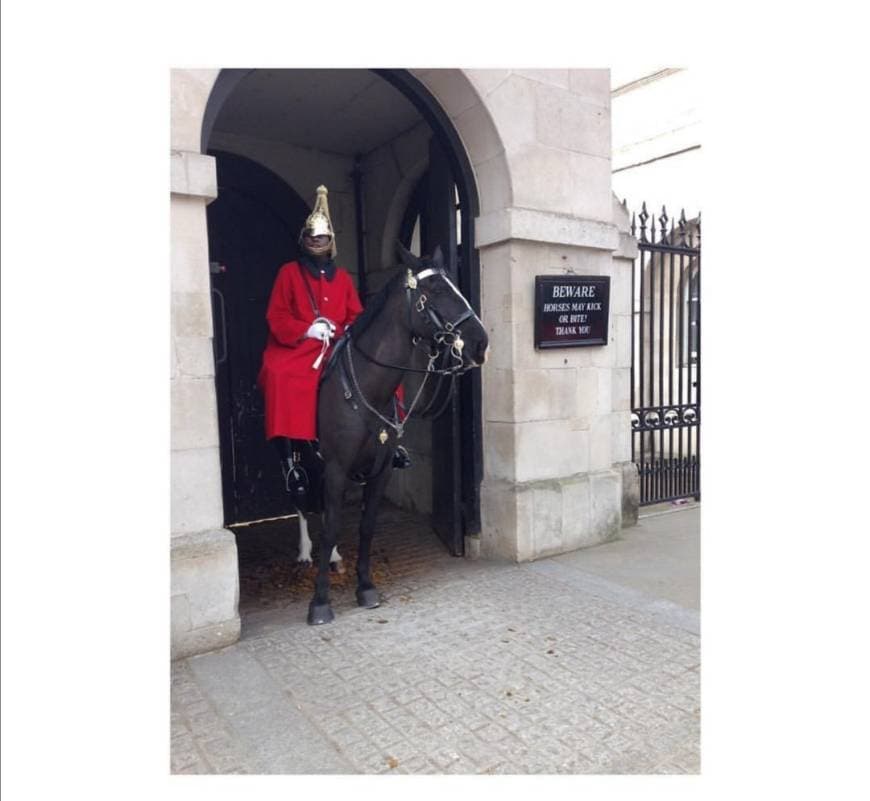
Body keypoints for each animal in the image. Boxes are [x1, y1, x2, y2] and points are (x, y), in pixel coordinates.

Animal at [304, 244, 488, 624]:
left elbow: (366, 525)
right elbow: (330, 528)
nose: (481, 343)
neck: (367, 389)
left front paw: (365, 586)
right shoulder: (335, 469)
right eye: (436, 290)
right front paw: (320, 601)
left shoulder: (382, 469)